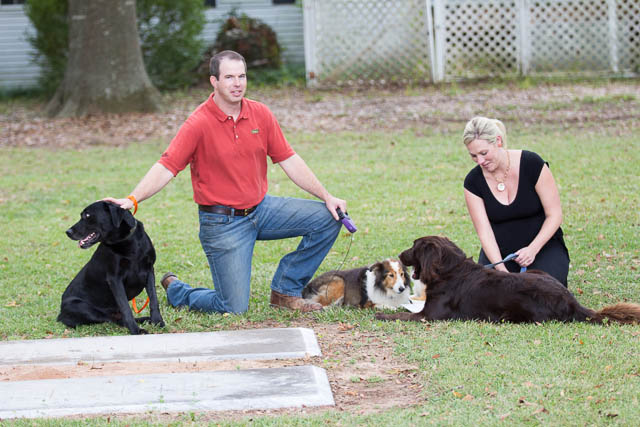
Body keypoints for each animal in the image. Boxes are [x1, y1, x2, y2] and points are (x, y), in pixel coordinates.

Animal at [58, 201, 162, 334]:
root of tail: (60, 315)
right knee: (114, 319)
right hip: (81, 307)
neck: (126, 241)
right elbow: (126, 308)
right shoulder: (115, 279)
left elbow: (153, 299)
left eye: (87, 215)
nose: (68, 232)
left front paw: (157, 321)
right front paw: (135, 331)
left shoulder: (149, 271)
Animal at [376, 237, 640, 324]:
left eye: (414, 247)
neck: (450, 271)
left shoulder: (429, 316)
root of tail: (572, 302)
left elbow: (402, 314)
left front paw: (381, 314)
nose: (400, 255)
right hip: (536, 271)